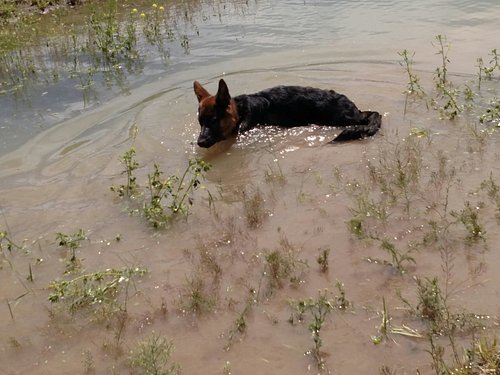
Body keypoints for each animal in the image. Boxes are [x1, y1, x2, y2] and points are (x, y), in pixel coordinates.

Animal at [193, 78, 380, 148]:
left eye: (214, 120)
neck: (240, 111)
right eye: (201, 122)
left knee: (374, 116)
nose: (200, 142)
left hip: (342, 118)